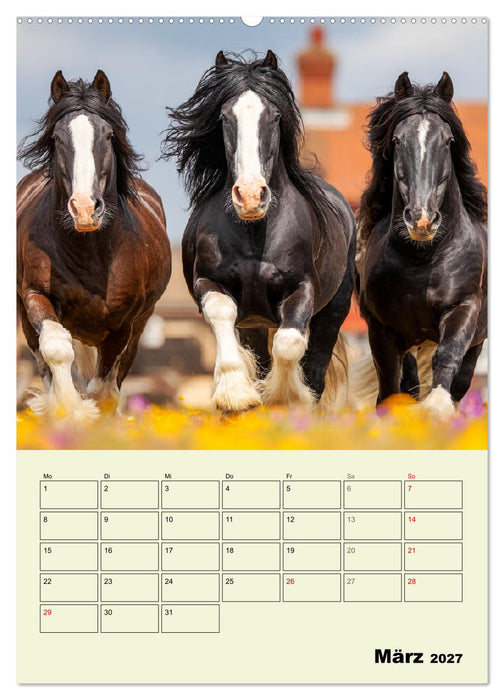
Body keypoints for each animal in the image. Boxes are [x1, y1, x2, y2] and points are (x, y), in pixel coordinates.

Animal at [17, 70, 171, 422]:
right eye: (57, 138)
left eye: (109, 136)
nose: (86, 209)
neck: (89, 252)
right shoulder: (35, 294)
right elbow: (57, 349)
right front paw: (71, 411)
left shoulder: (124, 322)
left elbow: (104, 390)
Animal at [162, 50, 356, 413]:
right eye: (225, 117)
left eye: (275, 116)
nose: (251, 196)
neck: (255, 234)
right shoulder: (209, 283)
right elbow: (222, 313)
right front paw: (235, 394)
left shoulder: (303, 289)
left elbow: (289, 343)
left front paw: (283, 399)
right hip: (256, 323)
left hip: (333, 312)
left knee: (315, 370)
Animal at [355, 71, 487, 419]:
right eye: (398, 141)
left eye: (449, 141)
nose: (422, 220)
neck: (422, 259)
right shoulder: (382, 328)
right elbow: (391, 384)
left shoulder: (464, 307)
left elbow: (447, 356)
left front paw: (438, 411)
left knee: (461, 378)